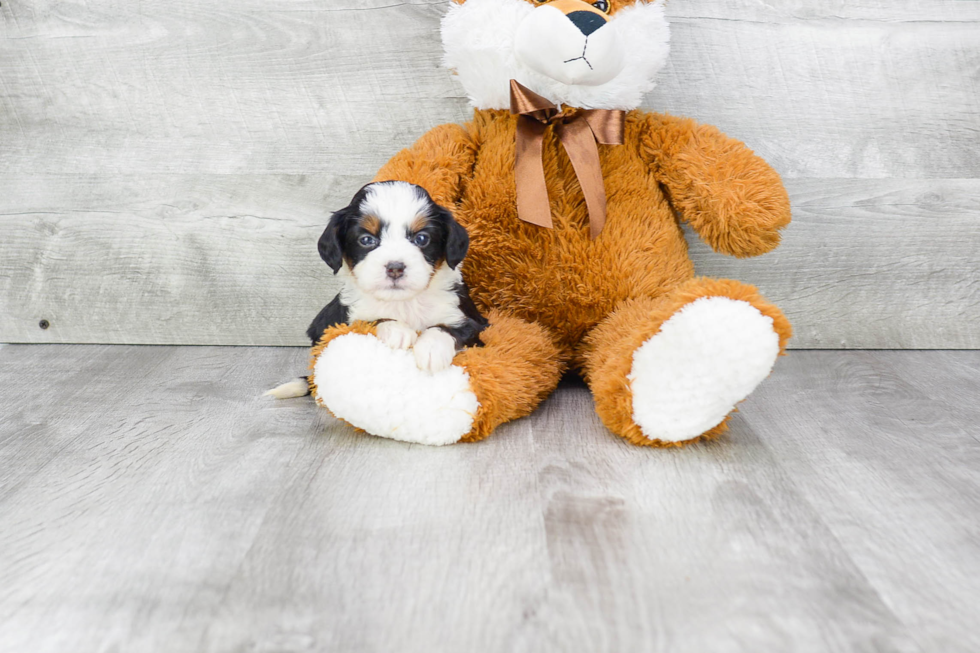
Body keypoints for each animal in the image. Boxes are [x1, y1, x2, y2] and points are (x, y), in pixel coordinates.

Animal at [266, 181, 488, 400]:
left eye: (421, 239)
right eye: (366, 240)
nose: (395, 268)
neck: (403, 303)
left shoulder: (471, 321)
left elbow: (447, 328)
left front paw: (431, 349)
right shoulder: (339, 321)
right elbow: (370, 320)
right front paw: (397, 331)